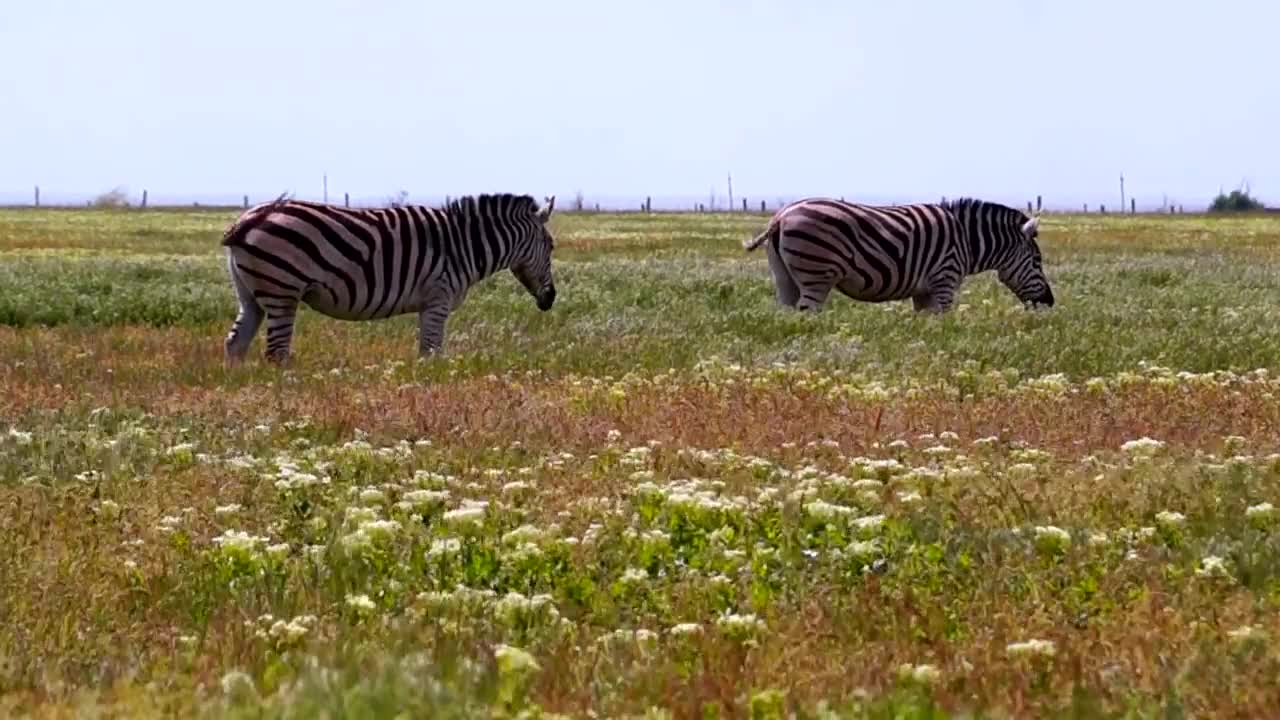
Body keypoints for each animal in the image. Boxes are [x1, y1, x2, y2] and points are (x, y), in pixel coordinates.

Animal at [220, 192, 558, 364]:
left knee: (235, 343)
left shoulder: (430, 303)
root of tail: (253, 217)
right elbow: (431, 353)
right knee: (275, 352)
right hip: (282, 290)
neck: (464, 244)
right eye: (552, 246)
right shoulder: (438, 297)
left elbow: (427, 351)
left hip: (251, 294)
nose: (551, 298)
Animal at [742, 196, 1053, 313]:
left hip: (784, 277)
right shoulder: (945, 280)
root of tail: (780, 217)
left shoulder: (924, 290)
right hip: (817, 274)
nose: (1049, 302)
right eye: (1037, 261)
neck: (967, 240)